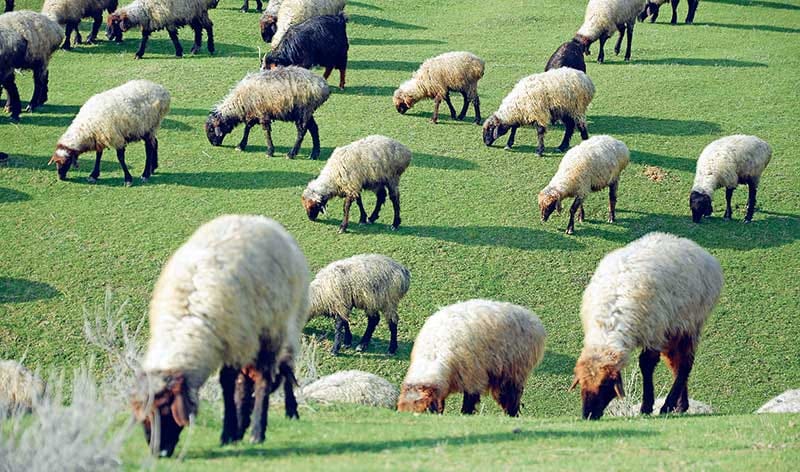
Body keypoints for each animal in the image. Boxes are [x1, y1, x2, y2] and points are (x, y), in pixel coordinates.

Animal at [130, 214, 310, 456]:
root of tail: (260, 219)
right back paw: (243, 426)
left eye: (165, 408)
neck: (187, 321)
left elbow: (227, 385)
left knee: (267, 378)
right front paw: (233, 432)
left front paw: (228, 433)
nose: (159, 453)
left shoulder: (233, 340)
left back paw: (259, 430)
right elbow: (235, 387)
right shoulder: (234, 342)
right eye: (145, 416)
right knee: (249, 382)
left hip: (272, 331)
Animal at [397, 299, 545, 417]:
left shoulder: (473, 376)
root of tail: (531, 317)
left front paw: (465, 414)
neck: (432, 356)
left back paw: (512, 414)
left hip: (514, 371)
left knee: (512, 396)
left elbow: (469, 400)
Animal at [570, 232, 723, 420]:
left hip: (690, 323)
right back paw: (681, 405)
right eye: (582, 384)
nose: (588, 415)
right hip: (671, 331)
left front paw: (646, 407)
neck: (609, 324)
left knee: (685, 364)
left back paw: (668, 405)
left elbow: (646, 365)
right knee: (676, 363)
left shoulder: (653, 333)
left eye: (605, 387)